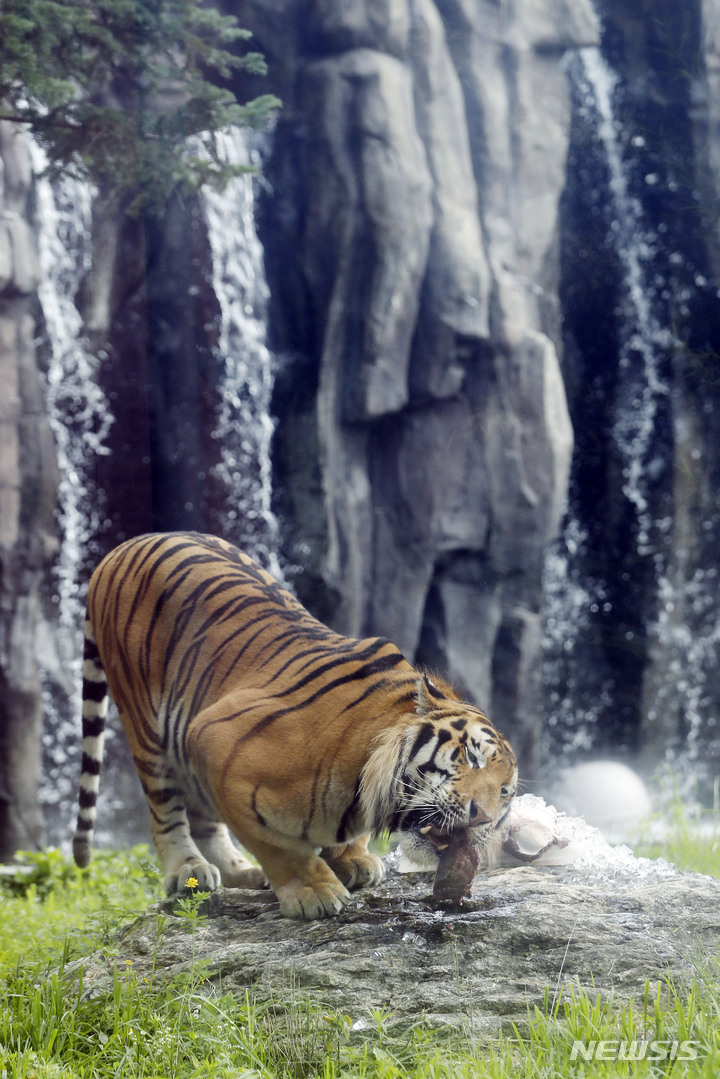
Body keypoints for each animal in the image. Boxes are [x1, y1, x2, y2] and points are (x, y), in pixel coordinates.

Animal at [74, 530, 518, 919]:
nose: (482, 817)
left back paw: (240, 873)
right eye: (471, 757)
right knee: (165, 812)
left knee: (203, 818)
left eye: (505, 793)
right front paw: (313, 892)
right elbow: (278, 845)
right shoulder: (213, 740)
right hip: (150, 729)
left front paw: (353, 861)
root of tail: (123, 547)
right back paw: (187, 871)